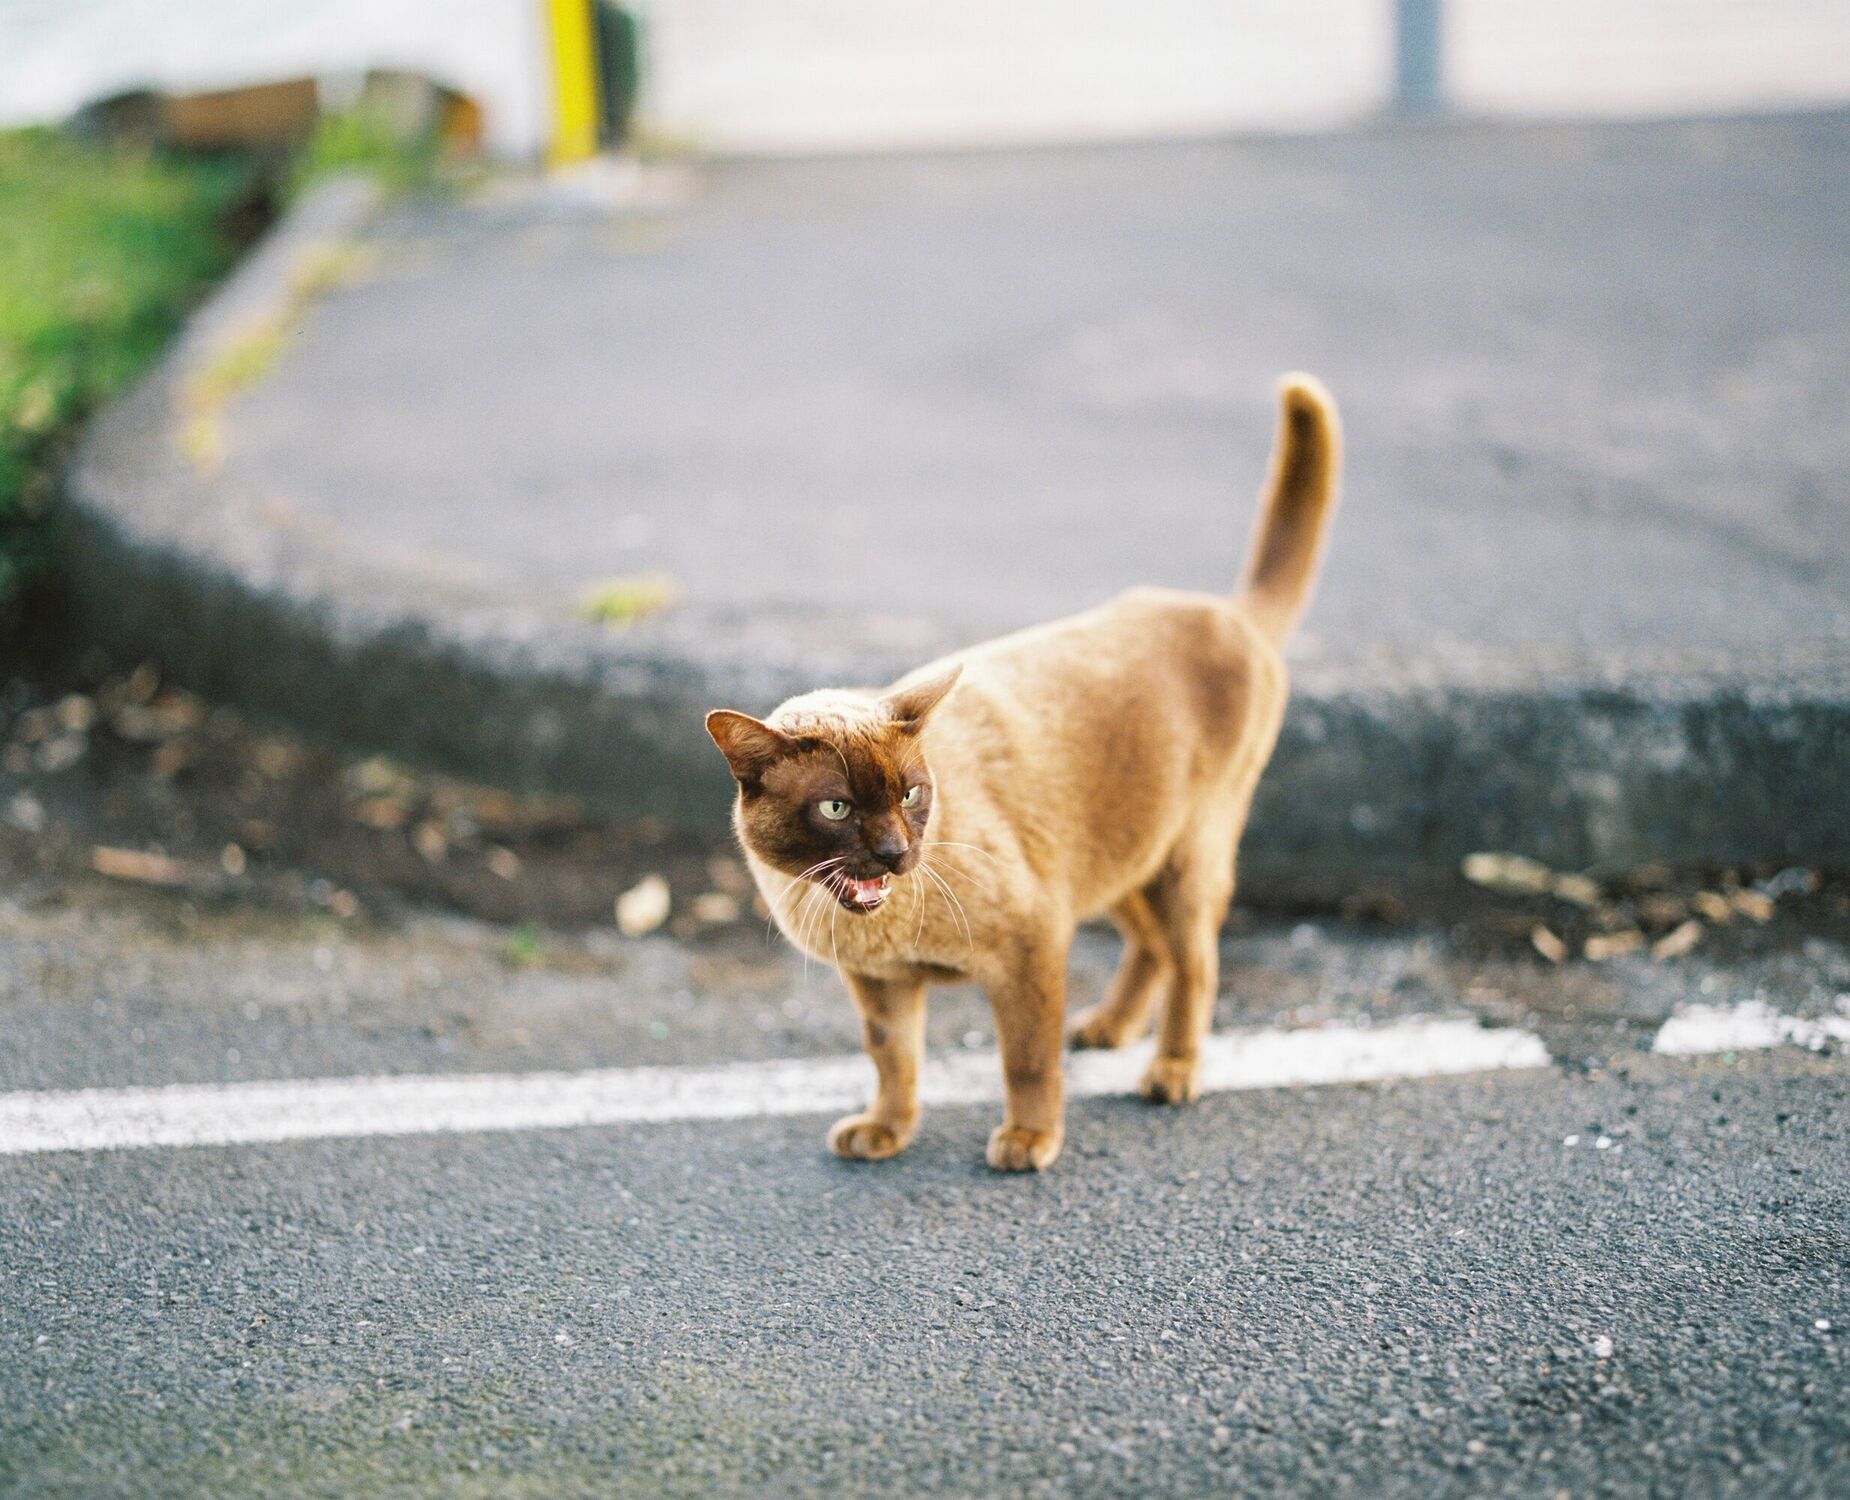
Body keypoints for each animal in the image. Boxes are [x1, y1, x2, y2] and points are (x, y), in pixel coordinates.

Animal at [710, 375, 1346, 1176]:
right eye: (836, 810)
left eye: (910, 795)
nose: (895, 853)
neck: (867, 926)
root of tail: (1226, 612)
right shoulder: (884, 987)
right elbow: (894, 1063)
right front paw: (886, 1132)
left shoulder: (1030, 944)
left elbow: (1028, 1060)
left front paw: (1029, 1141)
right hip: (1118, 859)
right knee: (1154, 948)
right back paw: (1108, 1028)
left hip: (1180, 862)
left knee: (1197, 964)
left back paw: (1170, 1072)